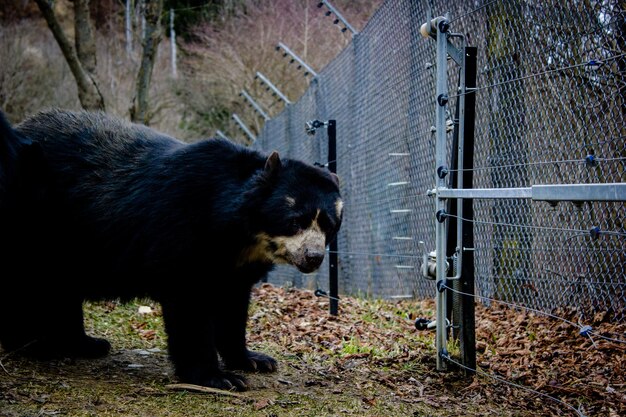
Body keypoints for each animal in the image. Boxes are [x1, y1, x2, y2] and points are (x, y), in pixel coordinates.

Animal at [0, 108, 342, 390]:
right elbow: (189, 306)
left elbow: (233, 307)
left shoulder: (237, 268)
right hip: (35, 223)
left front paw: (254, 360)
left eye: (329, 225)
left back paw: (86, 344)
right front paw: (217, 377)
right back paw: (34, 346)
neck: (242, 236)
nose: (313, 257)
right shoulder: (181, 232)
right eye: (295, 221)